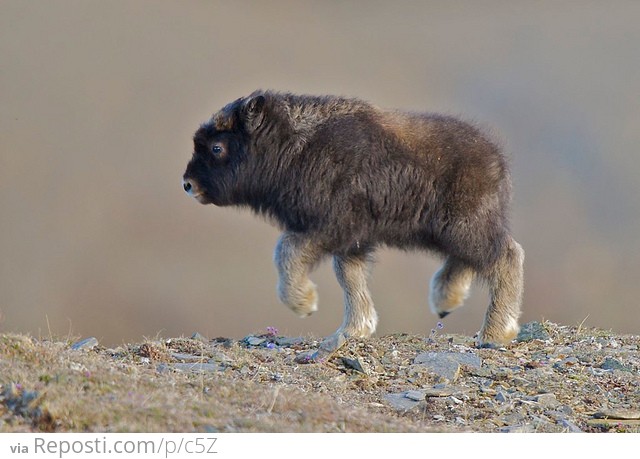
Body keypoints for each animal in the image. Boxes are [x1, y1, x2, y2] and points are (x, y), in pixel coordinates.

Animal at [182, 90, 524, 362]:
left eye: (217, 147)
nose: (188, 184)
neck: (295, 146)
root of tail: (497, 160)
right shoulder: (351, 240)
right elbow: (350, 277)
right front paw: (356, 329)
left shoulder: (329, 227)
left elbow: (286, 251)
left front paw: (304, 303)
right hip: (452, 232)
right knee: (467, 261)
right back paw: (445, 300)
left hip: (464, 227)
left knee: (506, 256)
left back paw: (495, 333)